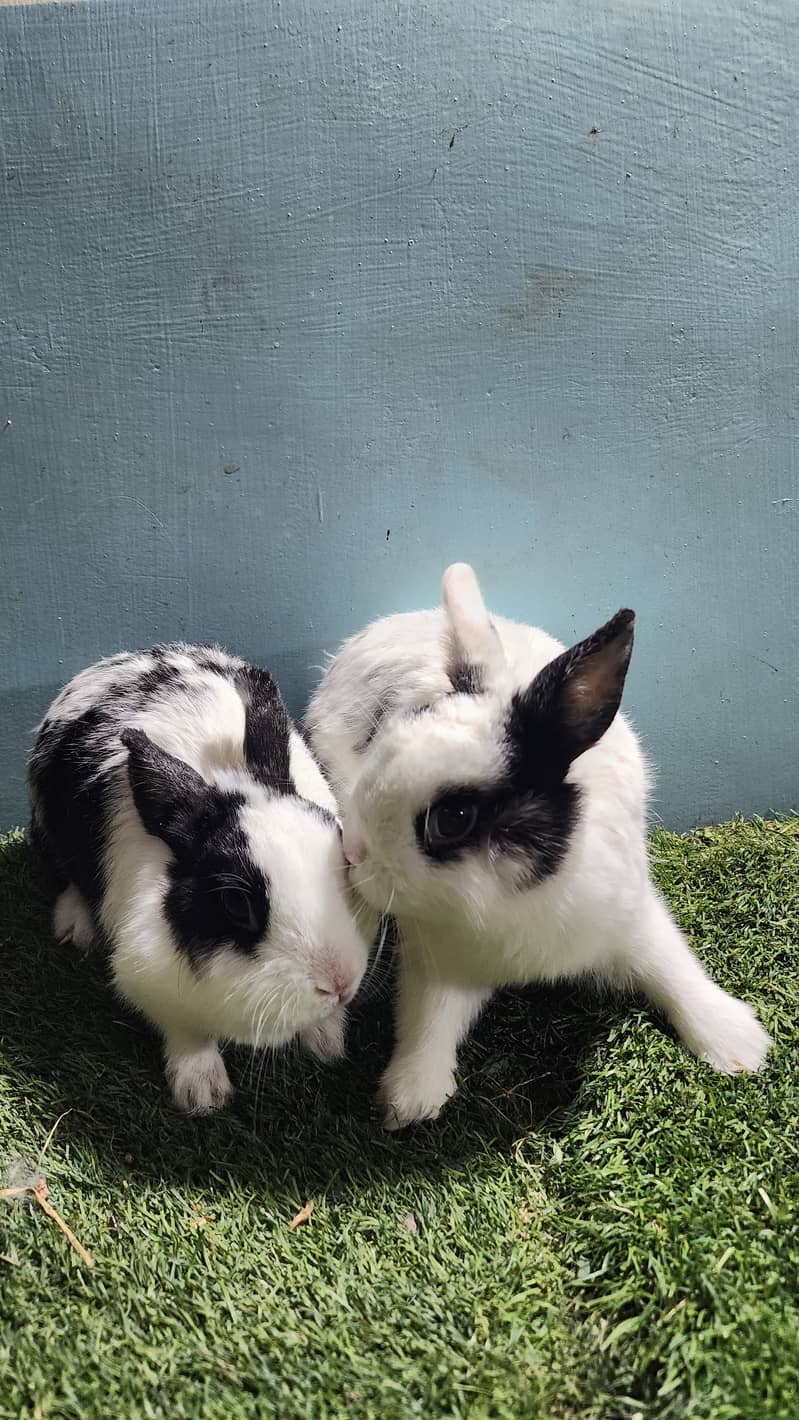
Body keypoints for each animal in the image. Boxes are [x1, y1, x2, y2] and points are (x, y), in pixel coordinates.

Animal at [29, 643, 370, 1113]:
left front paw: (327, 1042)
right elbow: (186, 1032)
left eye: (340, 858)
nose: (339, 984)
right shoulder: (151, 979)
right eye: (235, 903)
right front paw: (203, 1093)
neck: (220, 777)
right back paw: (75, 927)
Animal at [305, 563, 772, 1129]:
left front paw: (738, 1045)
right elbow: (427, 1017)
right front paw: (411, 1098)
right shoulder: (438, 959)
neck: (509, 899)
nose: (354, 853)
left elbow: (672, 968)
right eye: (383, 750)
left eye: (452, 820)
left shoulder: (631, 919)